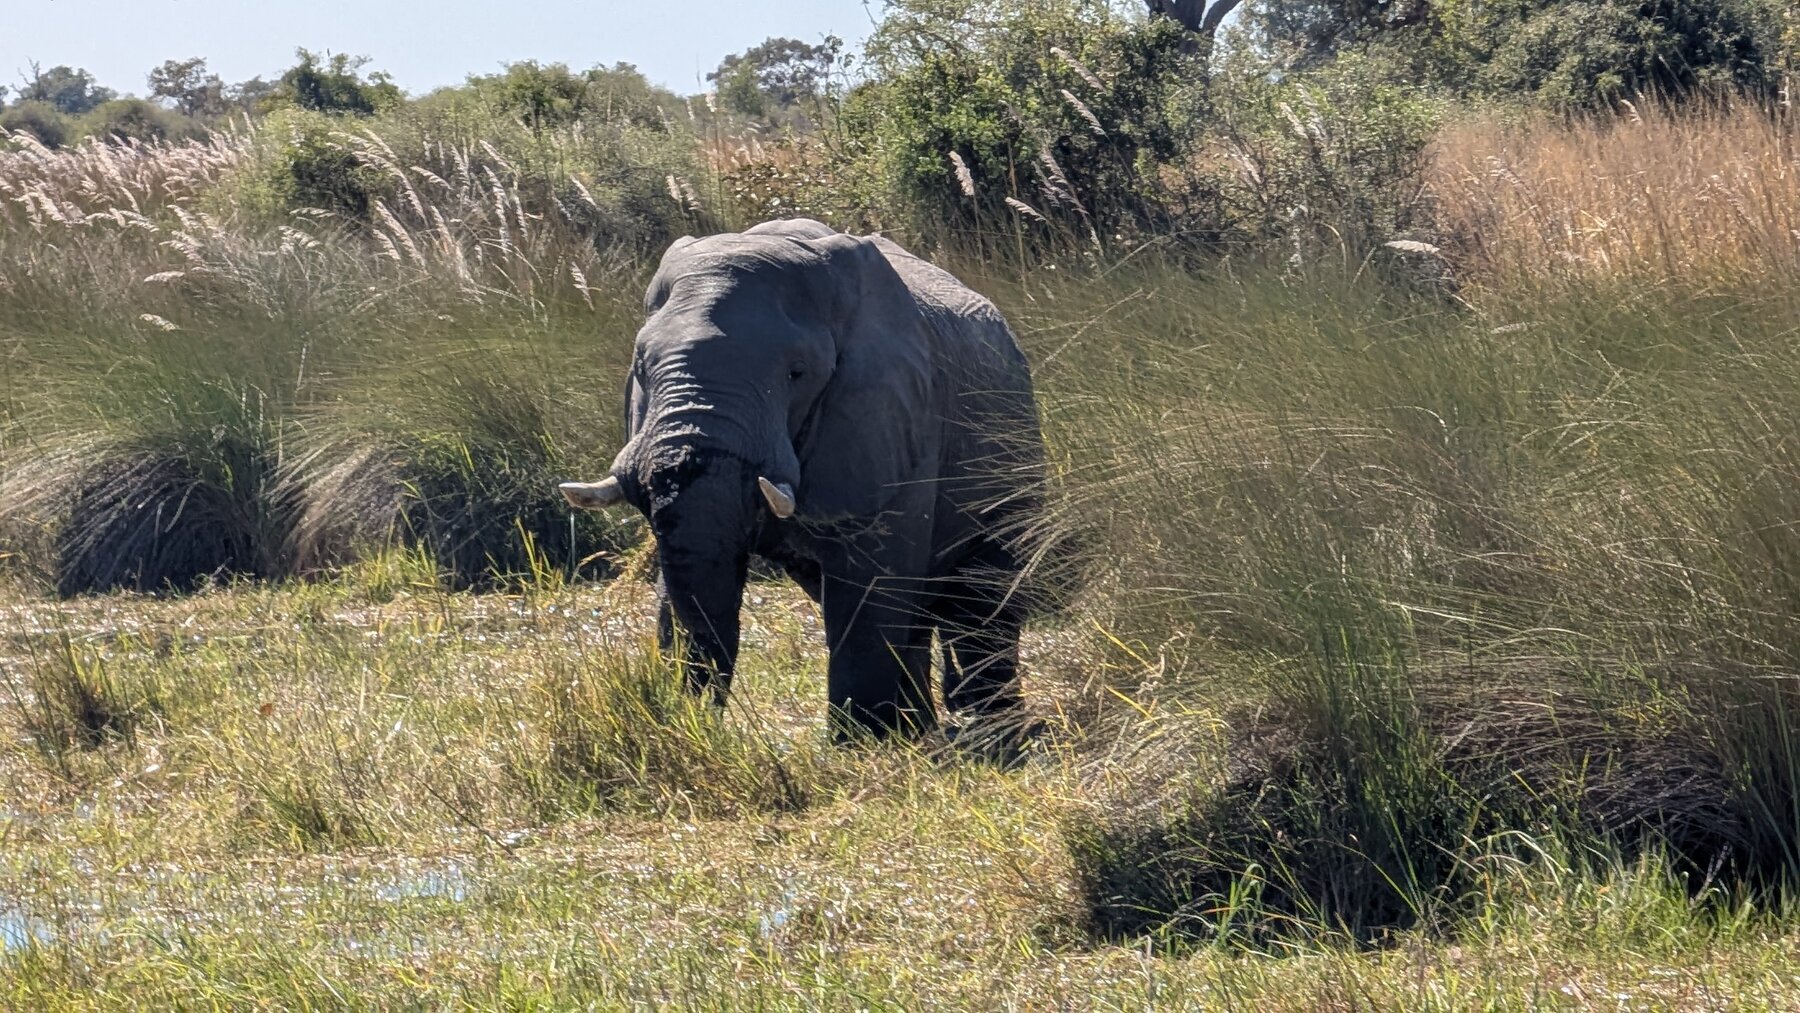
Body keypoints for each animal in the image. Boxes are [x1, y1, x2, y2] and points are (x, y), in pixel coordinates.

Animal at [560, 218, 1046, 745]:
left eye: (797, 373)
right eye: (641, 368)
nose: (696, 721)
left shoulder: (890, 411)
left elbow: (869, 578)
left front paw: (861, 745)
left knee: (984, 597)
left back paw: (989, 727)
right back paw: (923, 727)